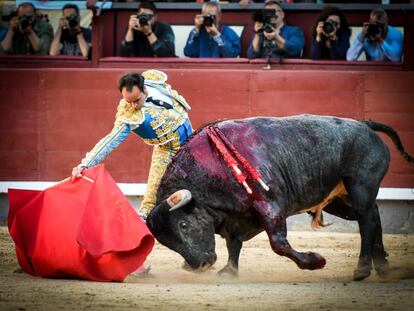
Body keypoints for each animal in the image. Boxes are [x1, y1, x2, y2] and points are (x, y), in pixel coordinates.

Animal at [146, 114, 414, 280]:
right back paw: (382, 266)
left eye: (183, 224)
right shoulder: (235, 219)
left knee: (367, 221)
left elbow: (278, 244)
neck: (212, 168)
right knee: (373, 216)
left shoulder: (270, 206)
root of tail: (364, 124)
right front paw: (230, 271)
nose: (200, 265)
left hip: (360, 186)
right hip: (339, 201)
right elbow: (233, 244)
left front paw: (315, 261)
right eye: (167, 243)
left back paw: (362, 269)